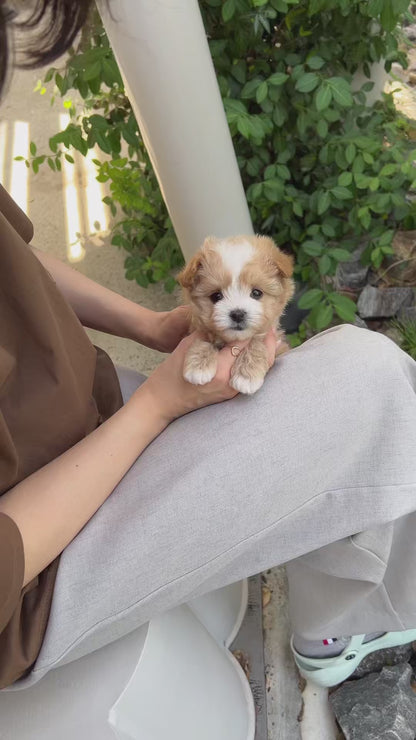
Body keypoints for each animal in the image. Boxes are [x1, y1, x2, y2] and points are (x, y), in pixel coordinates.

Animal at [177, 234, 294, 396]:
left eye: (256, 293)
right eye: (216, 296)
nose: (238, 314)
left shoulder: (275, 340)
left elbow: (257, 342)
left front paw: (246, 376)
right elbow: (204, 340)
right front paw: (198, 366)